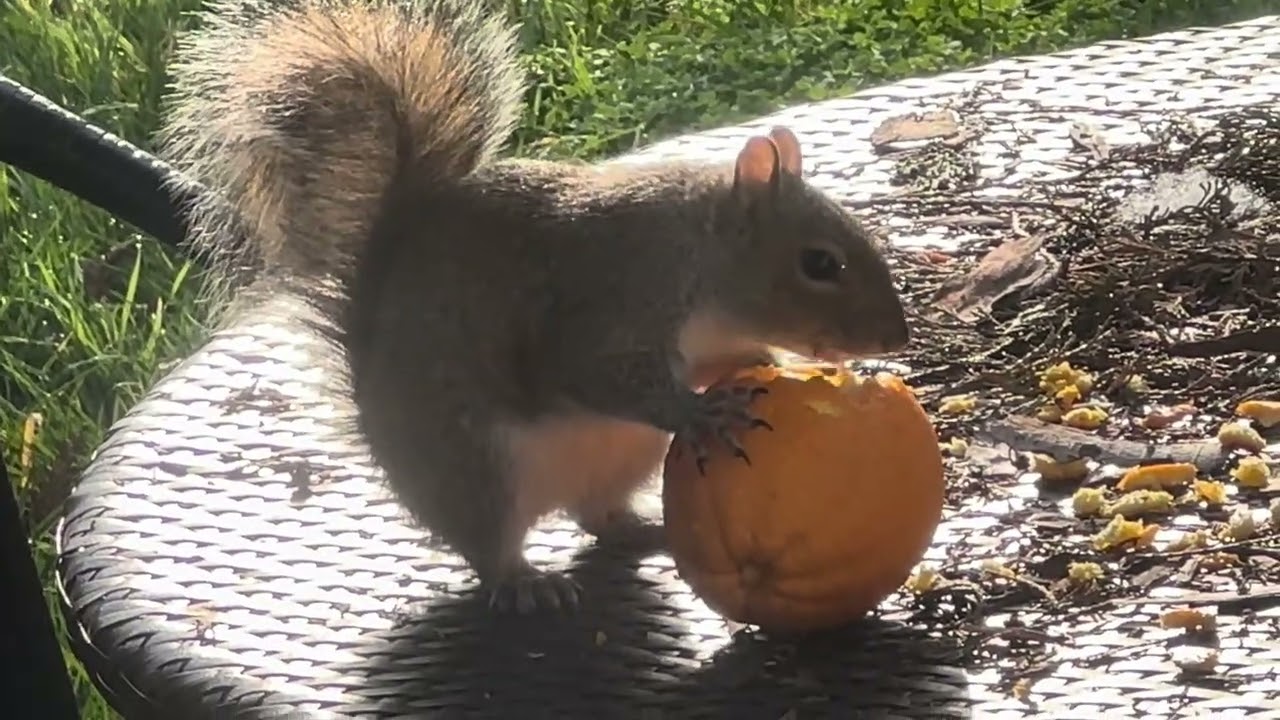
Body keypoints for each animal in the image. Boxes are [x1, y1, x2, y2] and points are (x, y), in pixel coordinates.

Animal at [158, 0, 911, 615]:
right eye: (820, 264)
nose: (896, 338)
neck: (699, 259)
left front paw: (764, 366)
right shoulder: (606, 303)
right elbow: (600, 375)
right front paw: (699, 411)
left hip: (621, 458)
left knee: (595, 517)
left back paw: (644, 527)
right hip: (477, 465)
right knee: (489, 545)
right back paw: (524, 580)